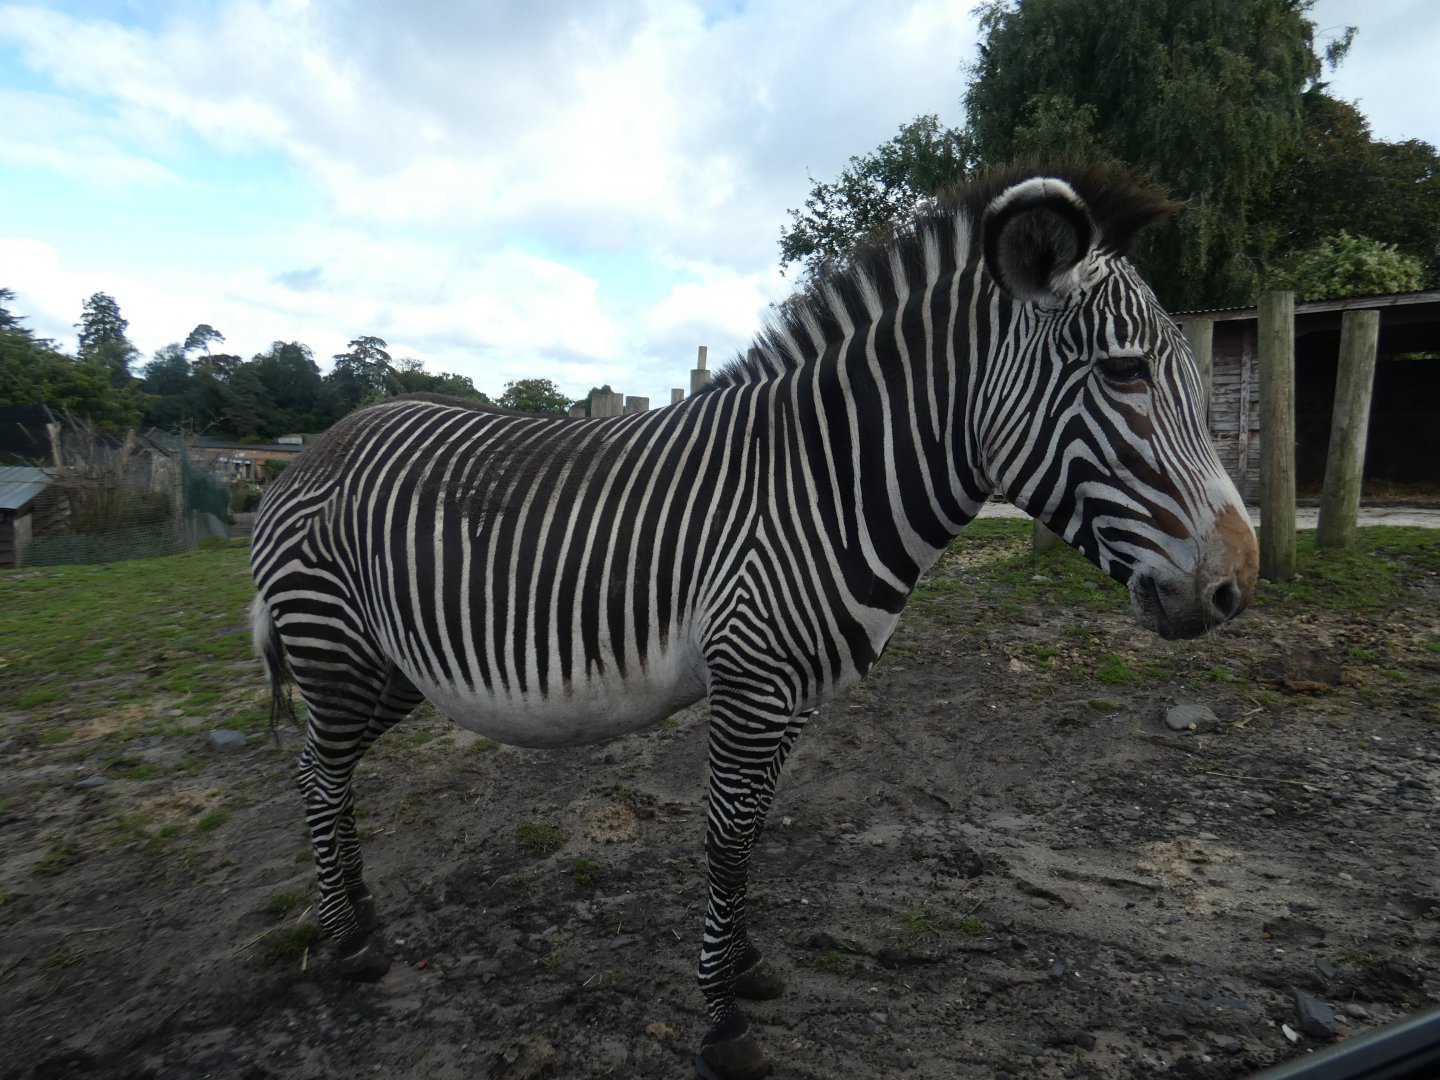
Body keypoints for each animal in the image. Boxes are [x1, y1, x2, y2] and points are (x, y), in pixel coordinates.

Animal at [250, 165, 1258, 1080]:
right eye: (1125, 373)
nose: (1236, 586)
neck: (824, 481)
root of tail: (321, 445)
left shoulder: (792, 692)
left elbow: (755, 832)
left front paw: (746, 967)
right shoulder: (751, 679)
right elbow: (728, 839)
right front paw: (724, 1020)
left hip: (391, 668)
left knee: (327, 772)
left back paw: (360, 912)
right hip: (336, 649)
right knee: (317, 776)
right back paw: (349, 944)